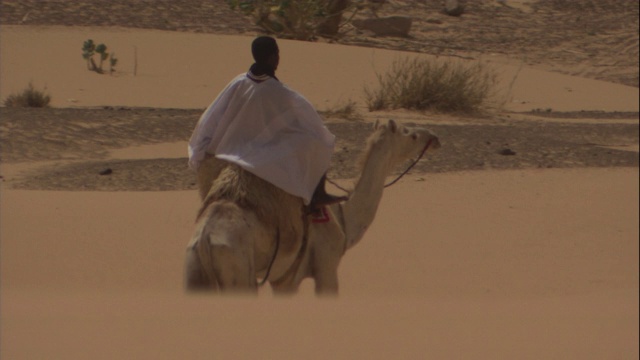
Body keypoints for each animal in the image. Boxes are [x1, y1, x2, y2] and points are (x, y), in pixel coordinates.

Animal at [182, 119, 438, 294]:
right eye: (412, 135)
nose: (434, 137)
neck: (343, 218)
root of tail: (204, 239)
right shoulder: (326, 267)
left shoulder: (282, 280)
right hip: (238, 273)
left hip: (195, 271)